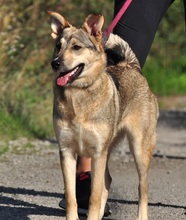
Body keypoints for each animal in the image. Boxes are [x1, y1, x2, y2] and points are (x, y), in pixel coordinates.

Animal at [48, 11, 158, 220]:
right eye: (58, 46)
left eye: (76, 47)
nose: (55, 63)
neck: (78, 94)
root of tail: (130, 66)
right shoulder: (67, 151)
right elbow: (72, 196)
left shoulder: (98, 152)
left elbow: (94, 196)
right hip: (110, 149)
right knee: (108, 181)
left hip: (139, 149)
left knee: (143, 187)